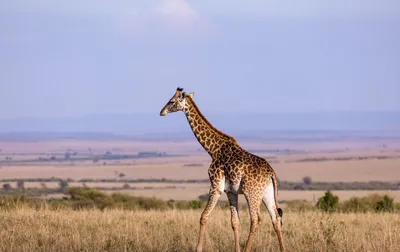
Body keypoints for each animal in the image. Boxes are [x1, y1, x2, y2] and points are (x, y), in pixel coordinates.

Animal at [159, 87, 284, 252]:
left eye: (171, 101)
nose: (162, 112)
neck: (213, 149)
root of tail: (271, 173)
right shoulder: (230, 191)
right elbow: (235, 222)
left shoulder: (216, 186)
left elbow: (203, 217)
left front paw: (198, 248)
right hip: (267, 193)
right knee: (276, 219)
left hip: (252, 193)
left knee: (256, 219)